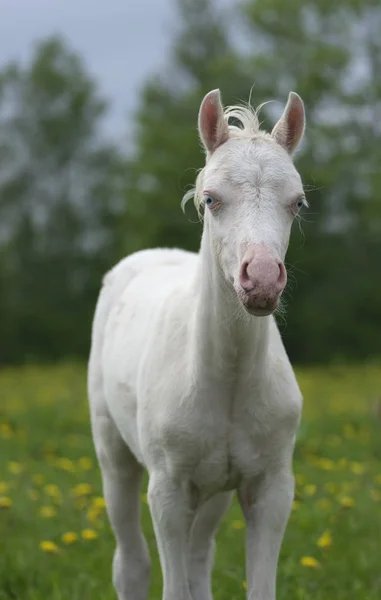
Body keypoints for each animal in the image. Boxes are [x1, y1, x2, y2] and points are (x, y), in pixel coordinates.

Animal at [88, 89, 306, 600]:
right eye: (211, 199)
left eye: (297, 203)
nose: (261, 279)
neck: (227, 378)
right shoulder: (167, 492)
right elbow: (171, 583)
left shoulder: (271, 488)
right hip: (115, 456)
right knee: (132, 562)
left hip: (213, 492)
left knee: (198, 556)